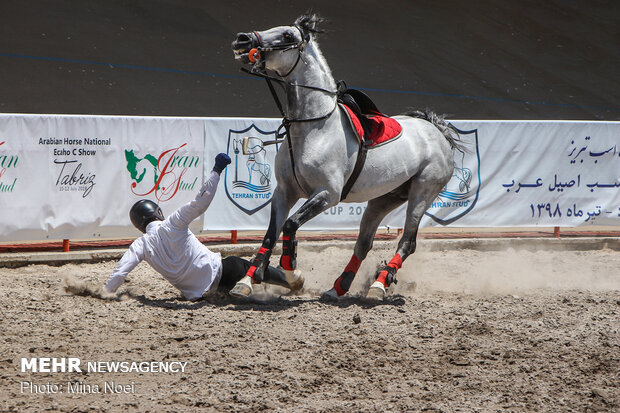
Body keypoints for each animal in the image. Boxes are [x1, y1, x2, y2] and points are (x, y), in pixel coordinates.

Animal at [230, 14, 462, 298]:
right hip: (384, 199)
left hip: (423, 192)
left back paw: (378, 285)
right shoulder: (284, 192)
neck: (313, 127)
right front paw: (246, 281)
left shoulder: (327, 194)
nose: (243, 39)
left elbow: (290, 225)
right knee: (363, 243)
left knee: (407, 241)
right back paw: (338, 288)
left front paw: (292, 272)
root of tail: (436, 129)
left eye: (287, 35)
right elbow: (270, 235)